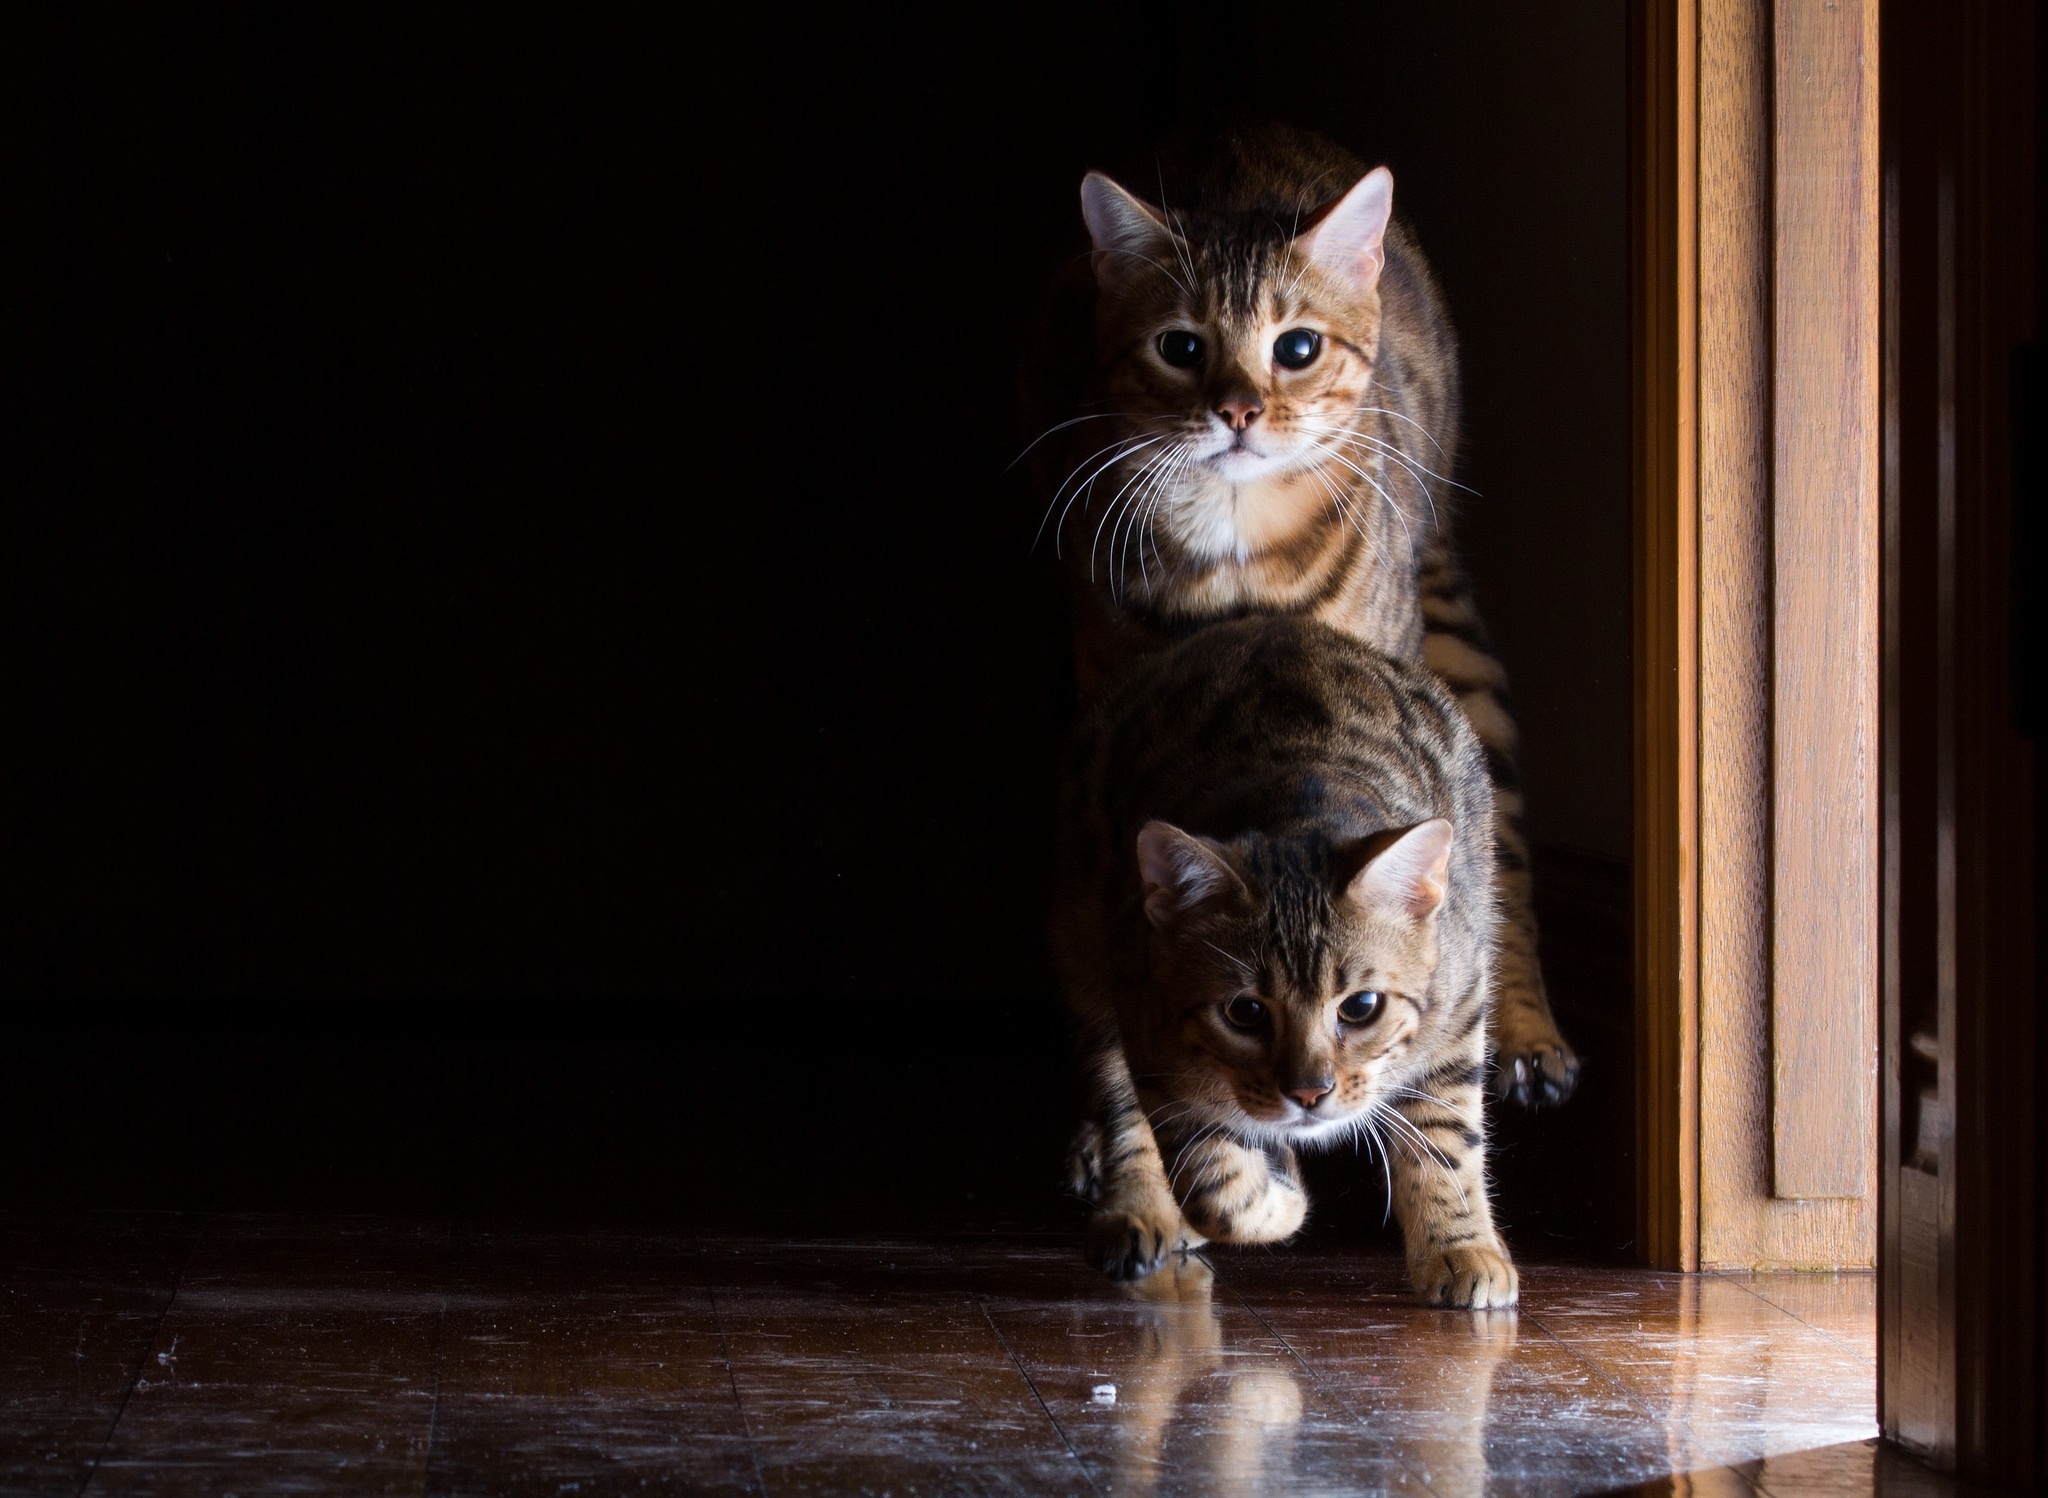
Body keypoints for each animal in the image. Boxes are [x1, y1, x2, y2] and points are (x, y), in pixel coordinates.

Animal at [1056, 614, 1523, 1303]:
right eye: (1245, 1012)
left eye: (1361, 1007)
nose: (1308, 1092)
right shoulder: (1148, 1026)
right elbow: (1214, 1182)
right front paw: (1278, 1199)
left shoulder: (1460, 1009)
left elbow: (1447, 1139)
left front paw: (1461, 1248)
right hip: (1090, 958)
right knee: (1124, 1119)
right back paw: (1142, 1209)